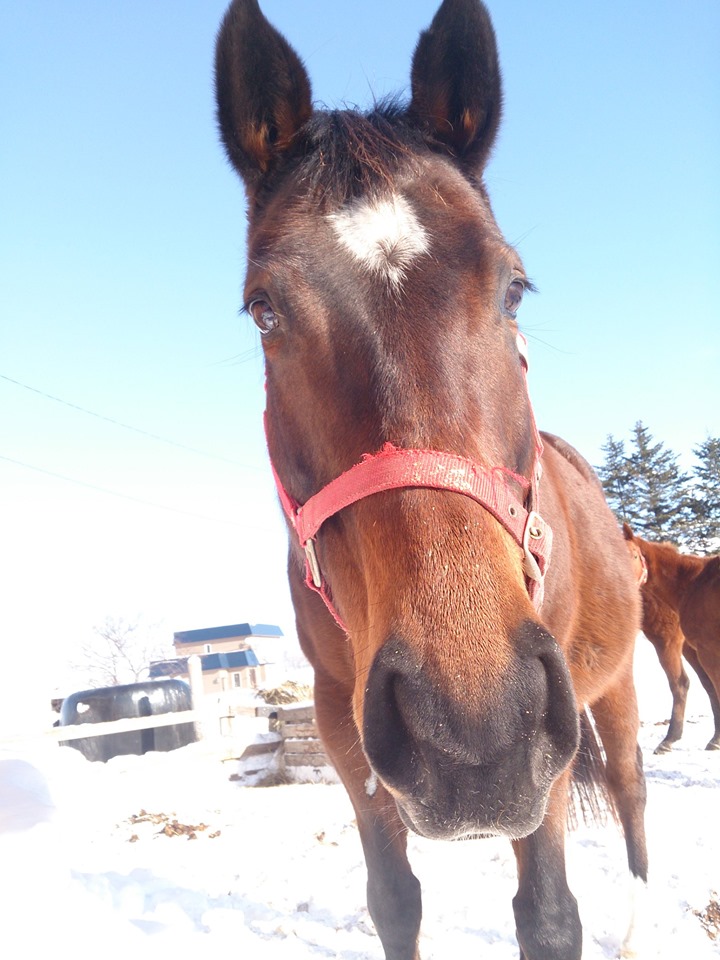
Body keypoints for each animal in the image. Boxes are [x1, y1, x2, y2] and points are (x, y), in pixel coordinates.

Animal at [214, 3, 648, 956]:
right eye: (265, 309)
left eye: (514, 288)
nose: (475, 732)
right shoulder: (342, 722)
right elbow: (394, 900)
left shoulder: (549, 736)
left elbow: (549, 915)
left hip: (614, 684)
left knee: (633, 791)